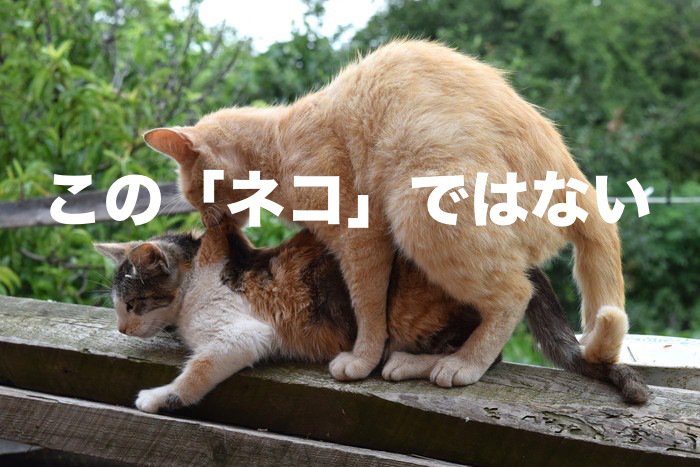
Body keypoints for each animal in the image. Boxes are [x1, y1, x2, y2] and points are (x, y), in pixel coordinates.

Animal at [95, 225, 648, 413]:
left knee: (477, 352)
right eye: (118, 305)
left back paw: (409, 363)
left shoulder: (243, 332)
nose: (121, 327)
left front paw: (157, 398)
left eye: (133, 303)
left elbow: (198, 371)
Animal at [142, 39, 629, 387]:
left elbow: (369, 308)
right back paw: (412, 364)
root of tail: (578, 183)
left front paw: (362, 360)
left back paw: (459, 366)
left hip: (421, 213)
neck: (280, 148)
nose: (208, 221)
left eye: (194, 192)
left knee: (514, 296)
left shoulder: (362, 239)